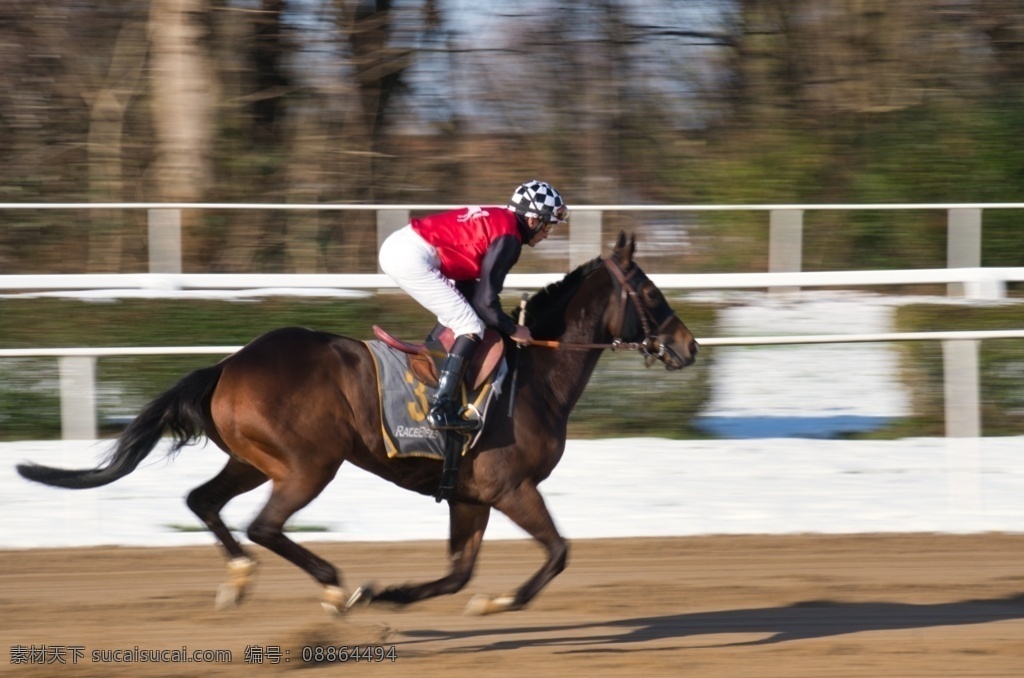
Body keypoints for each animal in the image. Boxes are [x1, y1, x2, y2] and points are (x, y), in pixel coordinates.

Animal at [16, 232, 698, 616]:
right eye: (650, 292)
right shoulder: (511, 487)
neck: (536, 373)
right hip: (309, 463)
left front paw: (396, 593)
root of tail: (230, 363)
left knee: (203, 501)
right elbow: (557, 552)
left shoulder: (471, 494)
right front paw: (501, 600)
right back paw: (333, 588)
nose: (687, 346)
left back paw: (242, 578)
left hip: (253, 457)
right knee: (264, 525)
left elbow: (458, 574)